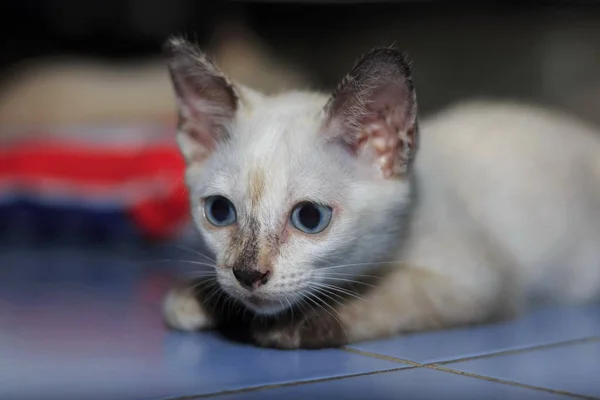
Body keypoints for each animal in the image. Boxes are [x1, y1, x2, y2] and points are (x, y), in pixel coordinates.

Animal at [161, 38, 600, 350]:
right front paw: (201, 299)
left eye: (309, 218)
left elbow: (387, 296)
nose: (248, 275)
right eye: (220, 211)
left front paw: (290, 326)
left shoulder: (481, 280)